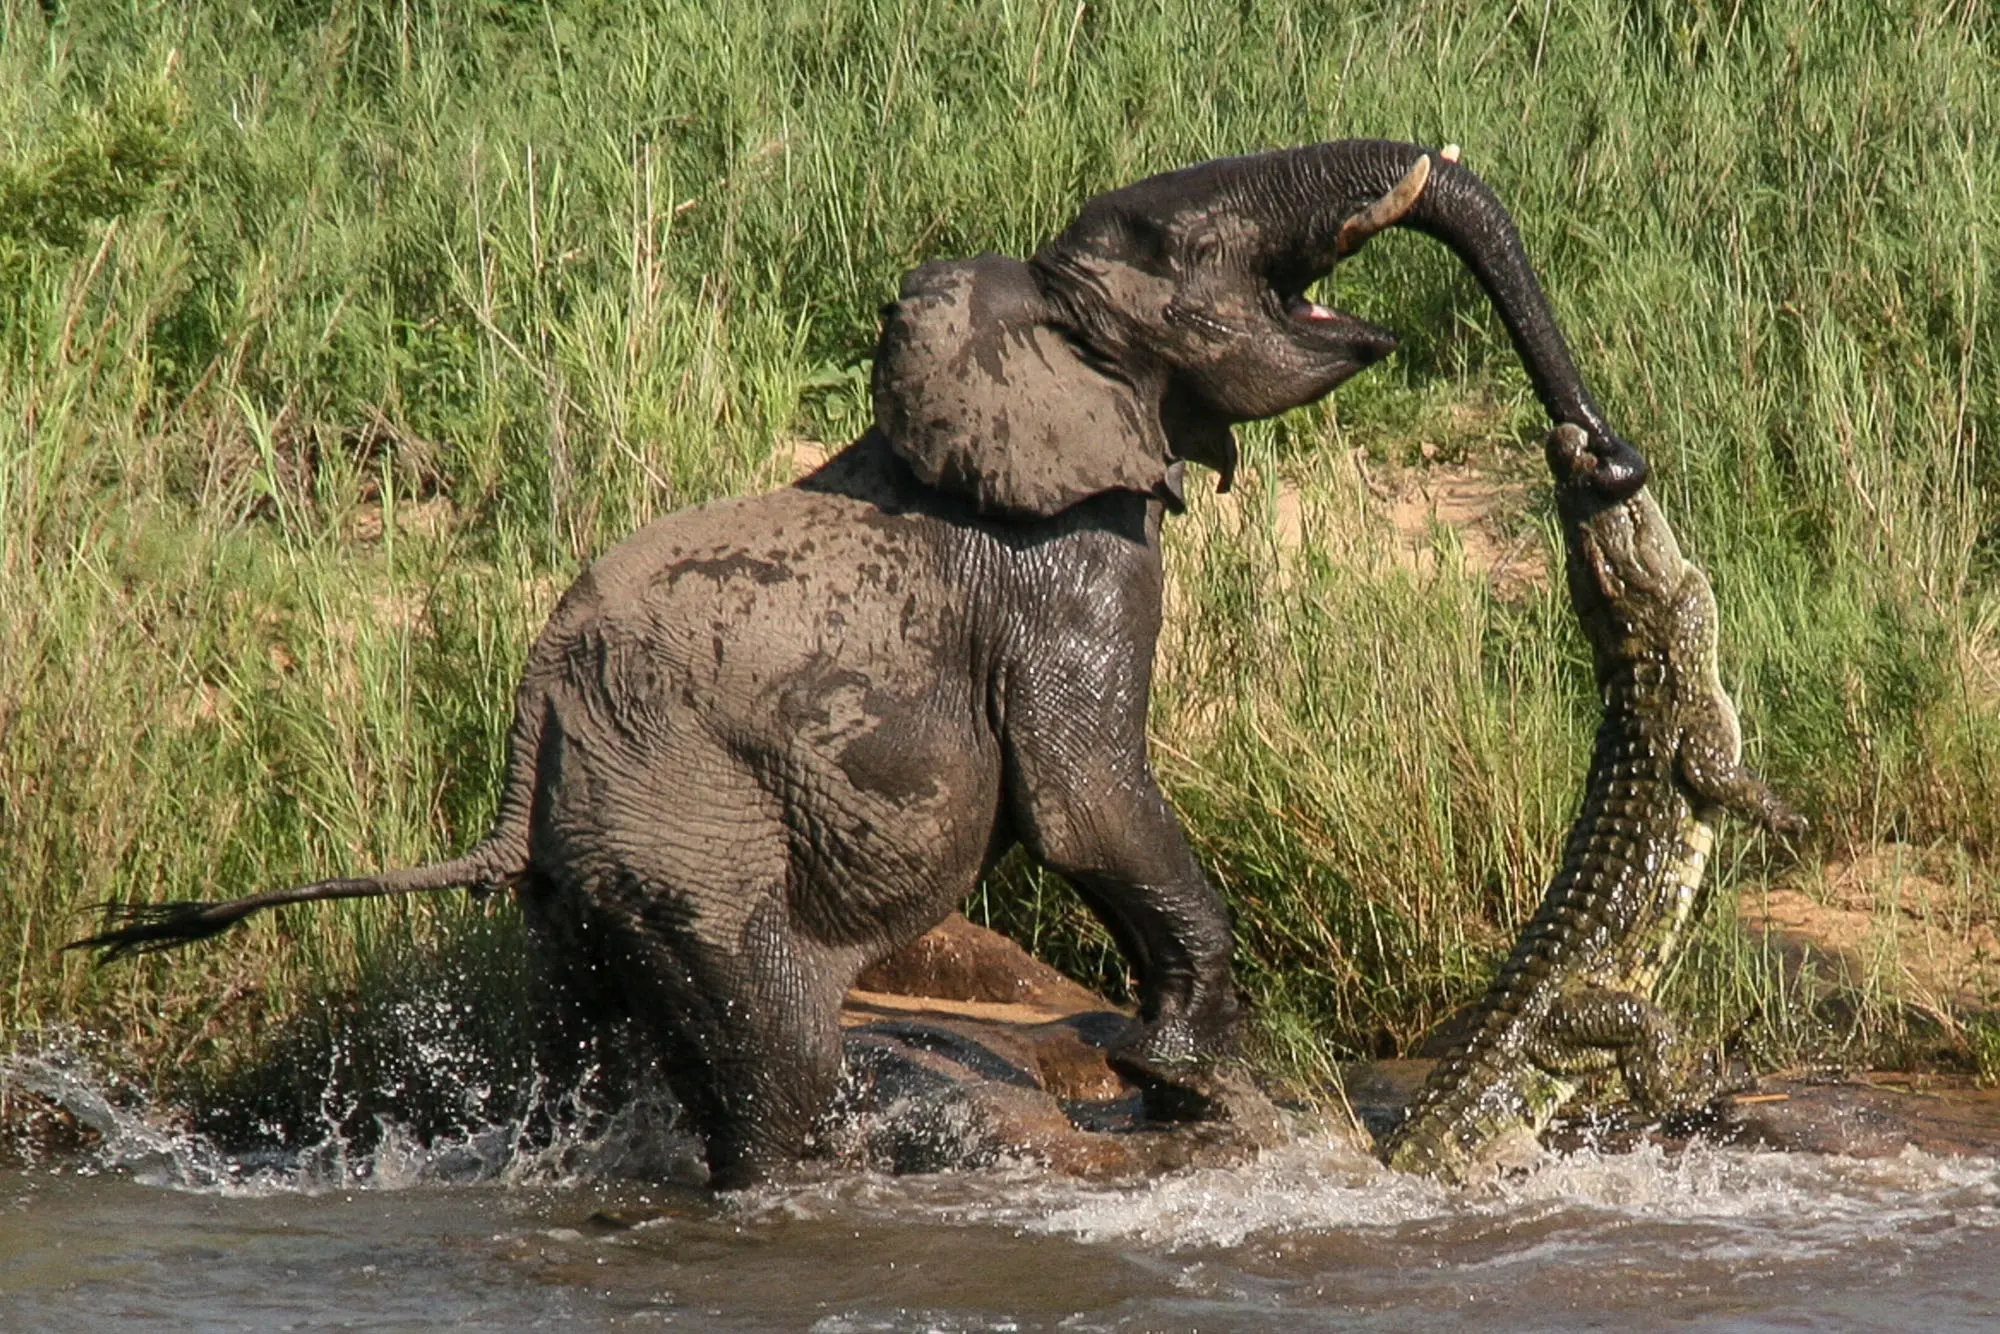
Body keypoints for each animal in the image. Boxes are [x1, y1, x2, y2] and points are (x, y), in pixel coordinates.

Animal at [74, 138, 1640, 1192]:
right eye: (1166, 240)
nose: (1603, 455)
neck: (1023, 329)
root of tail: (532, 725)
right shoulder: (1070, 563)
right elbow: (1085, 801)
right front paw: (1180, 1078)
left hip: (585, 871)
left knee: (584, 1039)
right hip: (684, 824)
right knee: (777, 1053)